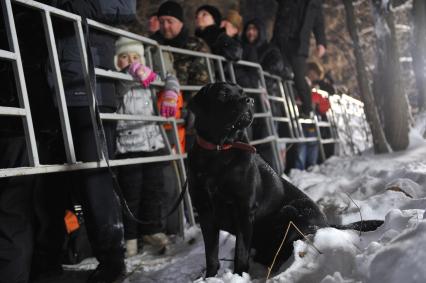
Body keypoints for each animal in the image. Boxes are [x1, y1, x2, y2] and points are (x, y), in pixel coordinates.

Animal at [188, 82, 382, 278]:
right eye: (223, 93)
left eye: (242, 92)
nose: (249, 100)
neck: (218, 152)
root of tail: (327, 223)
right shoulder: (205, 212)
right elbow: (211, 254)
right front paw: (210, 277)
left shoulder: (244, 209)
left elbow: (240, 251)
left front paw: (239, 276)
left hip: (292, 211)